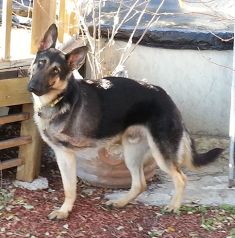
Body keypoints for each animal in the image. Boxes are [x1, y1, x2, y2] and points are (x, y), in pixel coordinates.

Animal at [28, 24, 223, 219]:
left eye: (56, 70)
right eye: (41, 63)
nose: (33, 87)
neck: (58, 100)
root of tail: (167, 98)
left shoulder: (67, 154)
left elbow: (69, 188)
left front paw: (64, 211)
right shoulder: (61, 154)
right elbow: (67, 186)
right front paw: (65, 210)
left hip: (160, 154)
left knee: (181, 178)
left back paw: (173, 206)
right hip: (132, 154)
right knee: (140, 184)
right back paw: (120, 202)